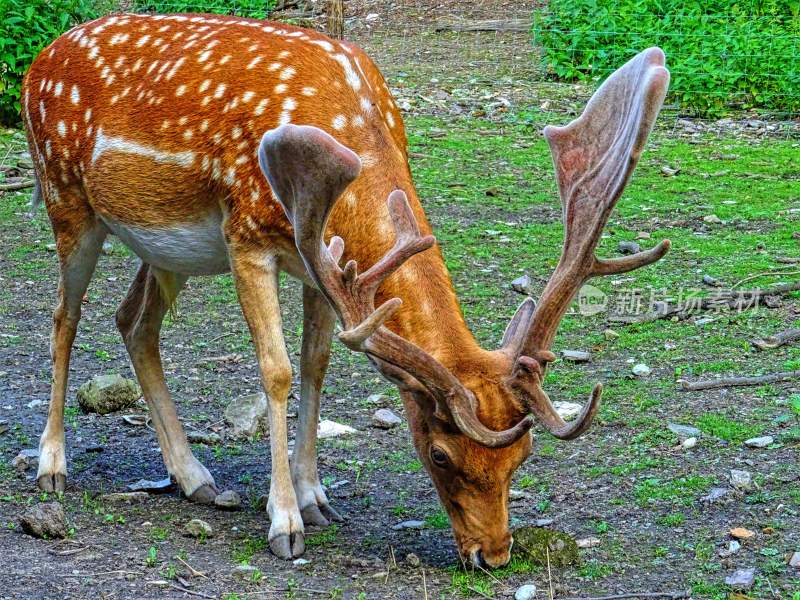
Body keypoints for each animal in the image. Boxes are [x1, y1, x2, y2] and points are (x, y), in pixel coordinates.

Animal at [21, 12, 668, 568]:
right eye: (439, 453)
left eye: (522, 457)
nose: (494, 554)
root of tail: (40, 58)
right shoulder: (246, 236)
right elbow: (277, 370)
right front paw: (284, 522)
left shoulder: (322, 266)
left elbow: (316, 363)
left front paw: (315, 497)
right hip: (65, 197)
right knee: (63, 318)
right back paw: (52, 466)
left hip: (163, 248)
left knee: (133, 322)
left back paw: (194, 476)